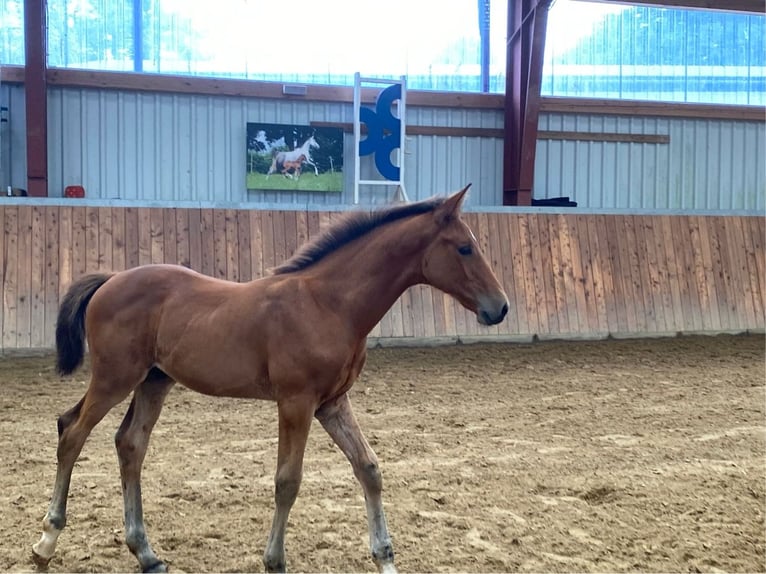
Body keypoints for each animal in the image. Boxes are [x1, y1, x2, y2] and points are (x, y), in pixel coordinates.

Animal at [31, 186, 510, 574]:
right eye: (464, 248)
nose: (500, 307)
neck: (328, 303)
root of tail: (111, 279)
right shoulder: (296, 402)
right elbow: (287, 481)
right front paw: (275, 560)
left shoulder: (333, 403)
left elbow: (369, 468)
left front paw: (385, 558)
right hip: (115, 378)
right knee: (71, 433)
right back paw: (45, 543)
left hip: (154, 382)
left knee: (129, 444)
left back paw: (146, 554)